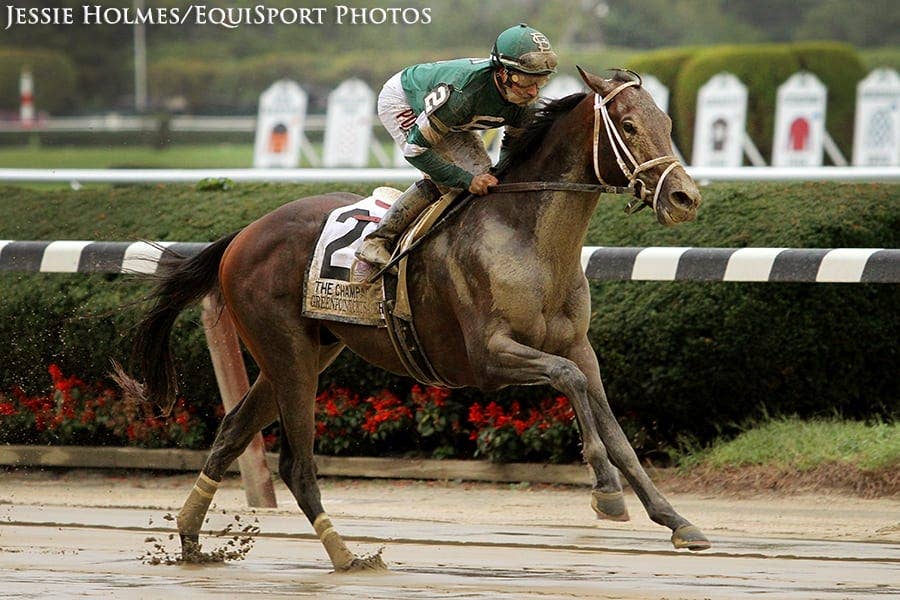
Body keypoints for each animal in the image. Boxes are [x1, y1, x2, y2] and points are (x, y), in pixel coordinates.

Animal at [118, 67, 707, 571]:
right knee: (296, 465)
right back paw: (346, 556)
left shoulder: (578, 346)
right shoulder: (488, 358)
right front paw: (605, 491)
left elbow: (611, 423)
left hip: (304, 352)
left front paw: (676, 521)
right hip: (289, 355)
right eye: (629, 125)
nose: (685, 198)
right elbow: (570, 383)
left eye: (667, 123)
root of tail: (243, 234)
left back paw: (191, 540)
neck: (527, 237)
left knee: (233, 431)